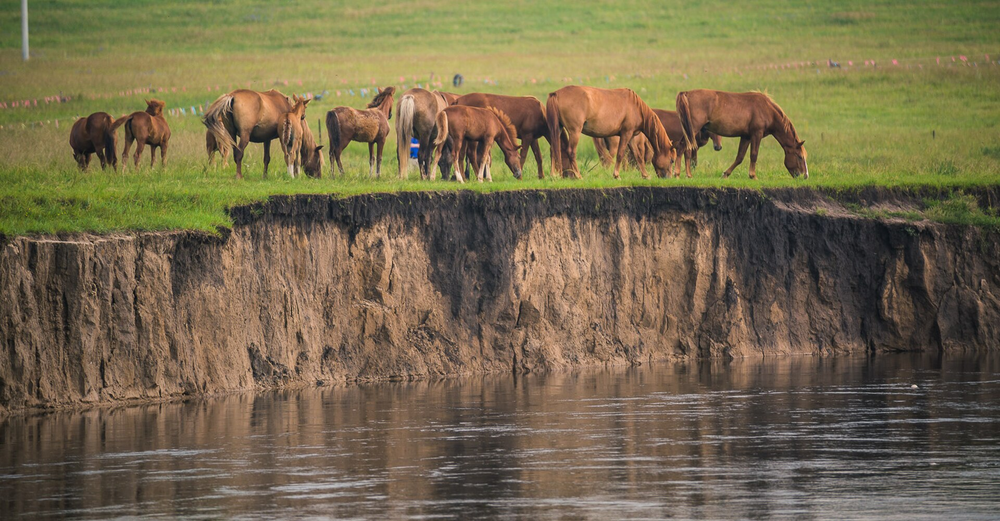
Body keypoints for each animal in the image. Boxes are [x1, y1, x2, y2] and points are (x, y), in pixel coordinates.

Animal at [676, 89, 807, 179]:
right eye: (800, 156)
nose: (804, 176)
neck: (767, 109)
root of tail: (687, 93)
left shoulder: (746, 136)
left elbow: (740, 157)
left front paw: (726, 174)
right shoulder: (756, 134)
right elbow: (754, 155)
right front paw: (753, 175)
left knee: (683, 148)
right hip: (693, 130)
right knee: (684, 148)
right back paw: (683, 174)